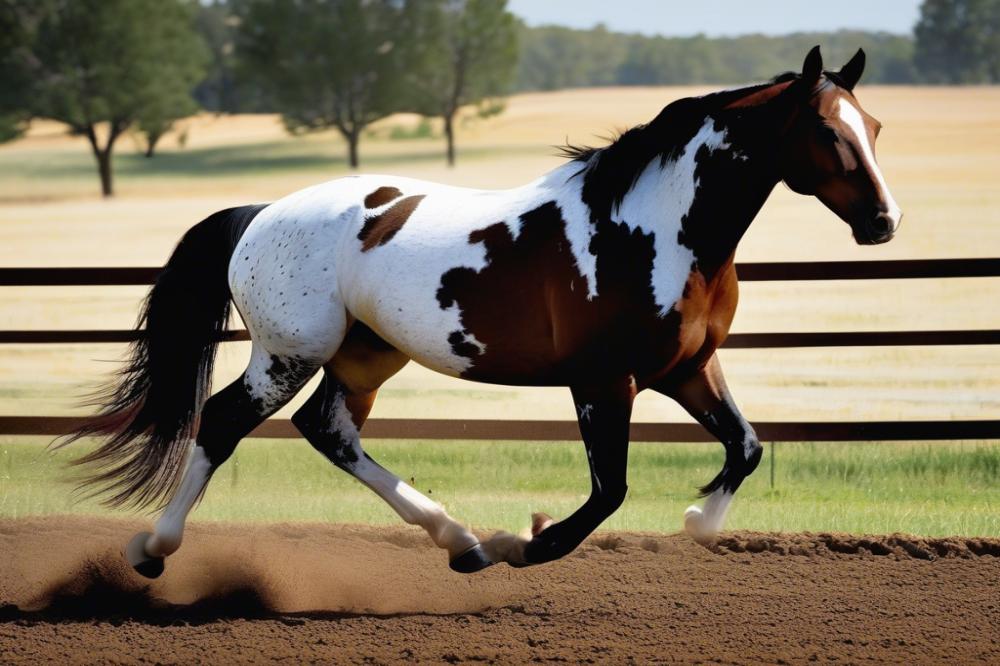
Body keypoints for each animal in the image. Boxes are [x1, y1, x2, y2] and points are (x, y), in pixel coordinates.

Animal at [66, 46, 904, 576]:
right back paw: (152, 552)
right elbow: (609, 492)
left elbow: (746, 447)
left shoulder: (688, 368)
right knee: (221, 420)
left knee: (329, 432)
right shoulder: (604, 381)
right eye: (826, 130)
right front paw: (523, 542)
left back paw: (456, 539)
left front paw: (699, 523)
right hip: (288, 352)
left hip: (365, 355)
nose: (883, 222)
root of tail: (261, 214)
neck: (654, 227)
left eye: (874, 128)